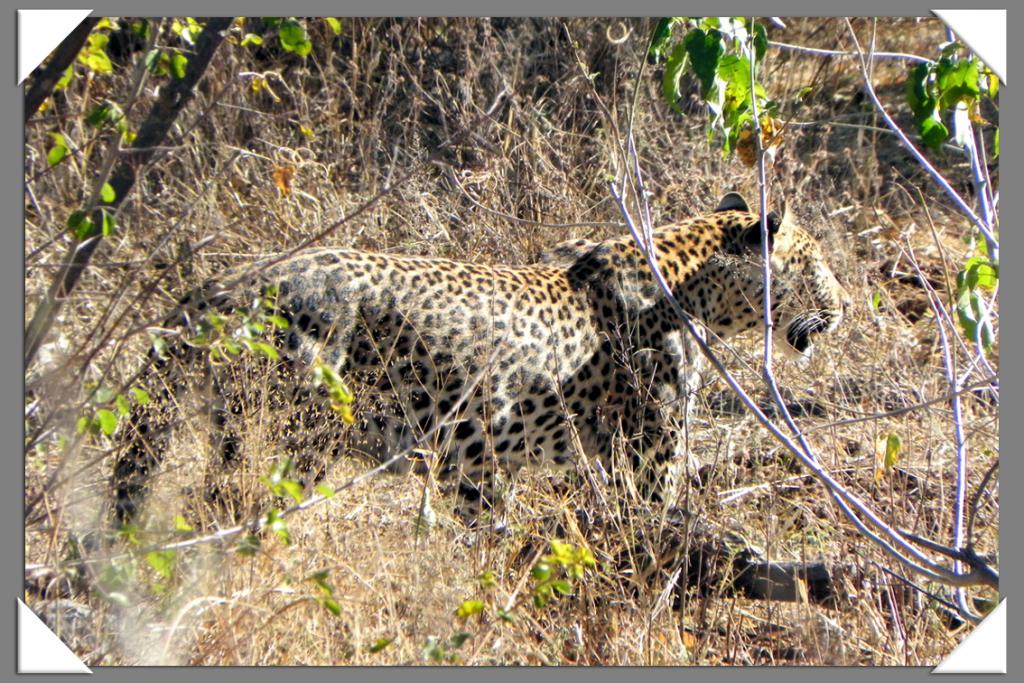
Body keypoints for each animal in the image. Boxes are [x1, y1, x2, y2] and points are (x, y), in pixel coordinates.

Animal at [112, 192, 849, 527]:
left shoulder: (489, 458)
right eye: (815, 262)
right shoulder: (649, 450)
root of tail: (228, 279)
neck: (690, 282)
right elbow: (651, 524)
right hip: (291, 434)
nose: (844, 306)